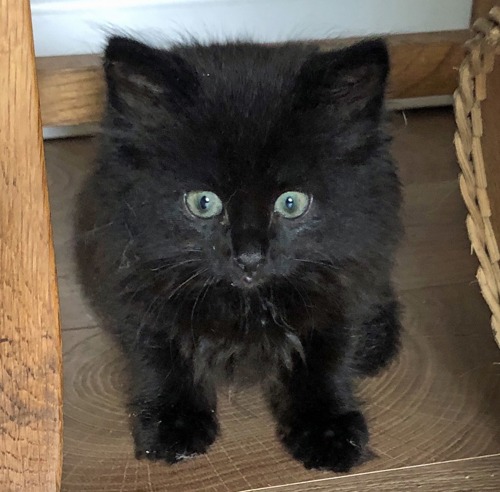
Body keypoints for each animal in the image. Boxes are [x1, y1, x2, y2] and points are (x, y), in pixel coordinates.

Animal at [75, 34, 402, 472]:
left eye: (291, 203)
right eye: (203, 202)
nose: (249, 257)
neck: (245, 306)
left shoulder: (344, 286)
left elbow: (327, 359)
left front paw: (327, 428)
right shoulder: (135, 281)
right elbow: (159, 354)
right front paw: (173, 422)